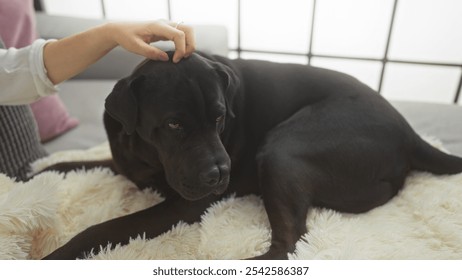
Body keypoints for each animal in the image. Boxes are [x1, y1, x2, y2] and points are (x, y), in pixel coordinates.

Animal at [41, 51, 462, 260]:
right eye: (174, 124)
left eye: (220, 117)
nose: (220, 175)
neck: (145, 152)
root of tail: (408, 131)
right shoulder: (124, 163)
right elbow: (73, 164)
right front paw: (38, 171)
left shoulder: (183, 205)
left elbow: (103, 229)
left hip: (282, 148)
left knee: (289, 243)